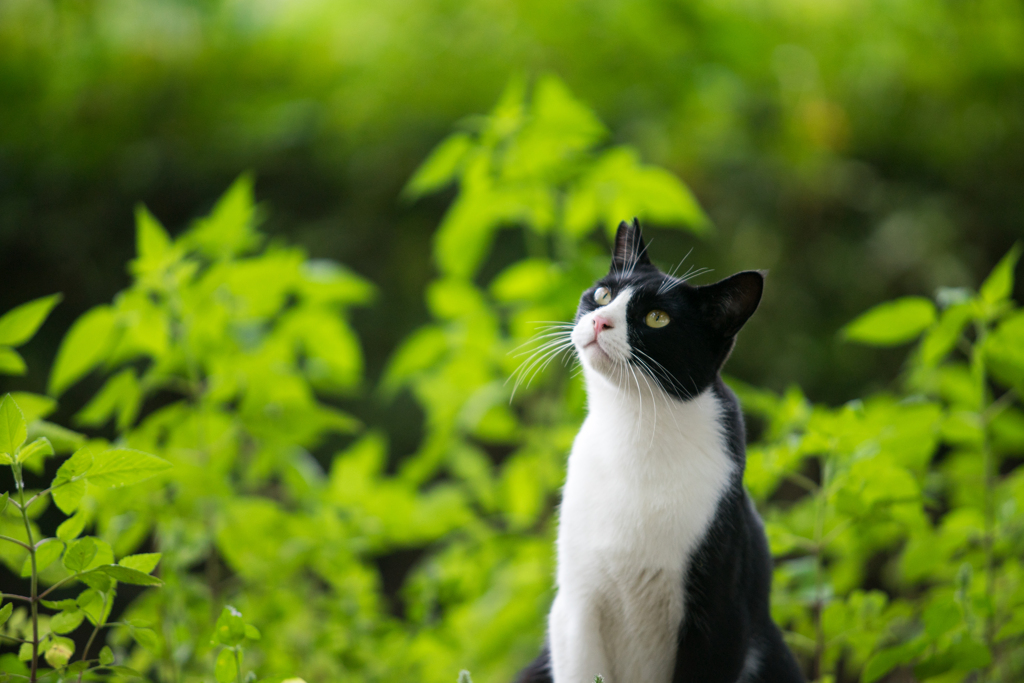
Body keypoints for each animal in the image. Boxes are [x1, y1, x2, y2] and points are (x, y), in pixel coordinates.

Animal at [516, 219, 802, 683]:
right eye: (603, 295)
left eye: (657, 318)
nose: (600, 322)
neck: (633, 431)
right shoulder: (574, 608)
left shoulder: (720, 619)